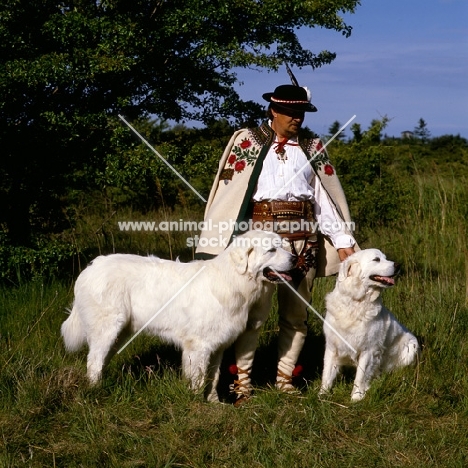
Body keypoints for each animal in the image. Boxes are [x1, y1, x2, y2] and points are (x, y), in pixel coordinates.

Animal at [61, 230, 296, 402]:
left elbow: (213, 377)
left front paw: (214, 404)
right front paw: (197, 406)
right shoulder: (198, 346)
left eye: (284, 245)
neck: (234, 281)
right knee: (93, 362)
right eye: (271, 250)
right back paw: (96, 392)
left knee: (101, 360)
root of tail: (90, 268)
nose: (296, 258)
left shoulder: (217, 346)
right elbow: (198, 379)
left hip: (119, 332)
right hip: (108, 328)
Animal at [320, 249, 418, 402]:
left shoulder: (369, 349)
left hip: (411, 346)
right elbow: (327, 374)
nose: (398, 265)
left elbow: (360, 377)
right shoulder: (332, 347)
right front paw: (322, 395)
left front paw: (356, 397)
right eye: (376, 259)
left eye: (385, 258)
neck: (356, 302)